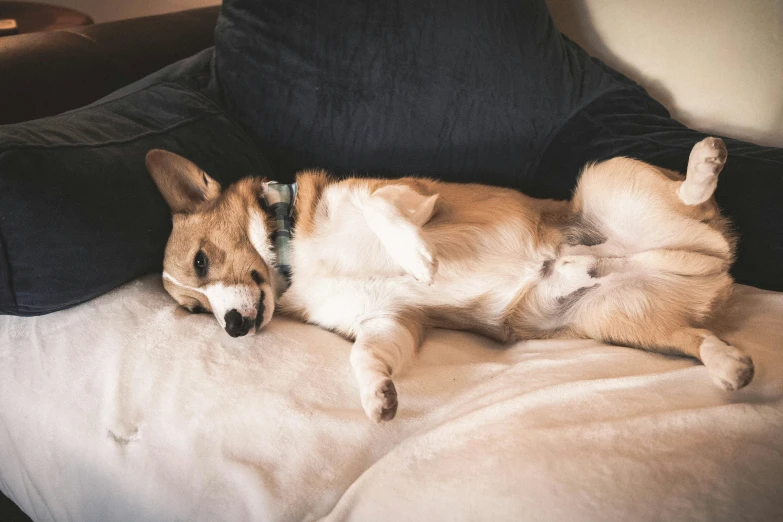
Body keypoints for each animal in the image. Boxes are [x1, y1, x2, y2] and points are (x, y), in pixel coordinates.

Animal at [145, 136, 752, 420]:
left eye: (201, 262)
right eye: (194, 308)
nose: (232, 327)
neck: (296, 258)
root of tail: (713, 257)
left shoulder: (410, 195)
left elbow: (383, 208)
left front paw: (417, 259)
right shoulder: (389, 321)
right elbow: (365, 357)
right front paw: (377, 397)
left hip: (607, 180)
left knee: (690, 196)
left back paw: (704, 164)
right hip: (618, 315)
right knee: (697, 337)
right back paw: (730, 365)